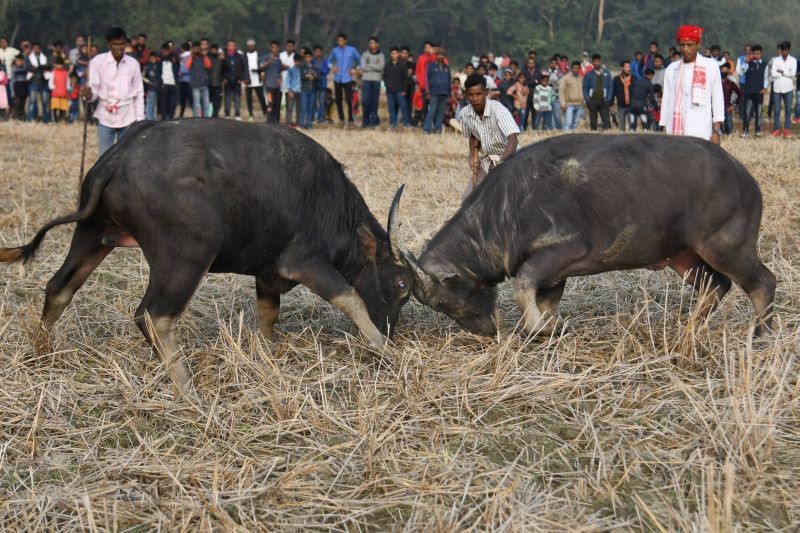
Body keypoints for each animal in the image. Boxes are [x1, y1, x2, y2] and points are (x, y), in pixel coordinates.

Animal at [0, 119, 412, 390]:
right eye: (401, 285)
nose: (392, 333)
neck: (331, 205)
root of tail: (119, 157)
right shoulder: (303, 262)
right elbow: (351, 297)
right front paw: (383, 350)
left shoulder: (267, 274)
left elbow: (268, 314)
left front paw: (268, 351)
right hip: (188, 254)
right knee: (153, 315)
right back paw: (186, 385)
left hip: (92, 234)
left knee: (59, 288)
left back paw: (42, 348)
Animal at [390, 135, 780, 338]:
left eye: (442, 303)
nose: (487, 330)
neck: (508, 207)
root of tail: (743, 176)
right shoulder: (554, 276)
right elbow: (543, 300)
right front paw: (549, 326)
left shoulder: (563, 251)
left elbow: (522, 283)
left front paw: (540, 329)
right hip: (683, 256)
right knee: (715, 286)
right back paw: (689, 329)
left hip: (725, 245)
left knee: (762, 282)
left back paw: (761, 335)